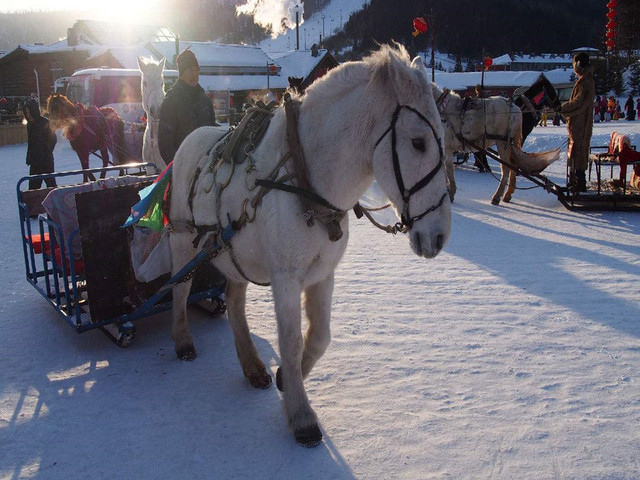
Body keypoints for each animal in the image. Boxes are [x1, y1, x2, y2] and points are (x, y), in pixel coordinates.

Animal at [169, 44, 450, 446]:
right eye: (418, 142)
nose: (439, 236)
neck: (305, 180)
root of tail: (190, 139)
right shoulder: (285, 277)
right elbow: (290, 340)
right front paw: (301, 415)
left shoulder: (323, 274)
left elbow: (319, 337)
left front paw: (288, 378)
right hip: (182, 241)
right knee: (179, 288)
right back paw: (183, 342)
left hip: (232, 251)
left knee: (235, 302)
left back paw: (253, 366)